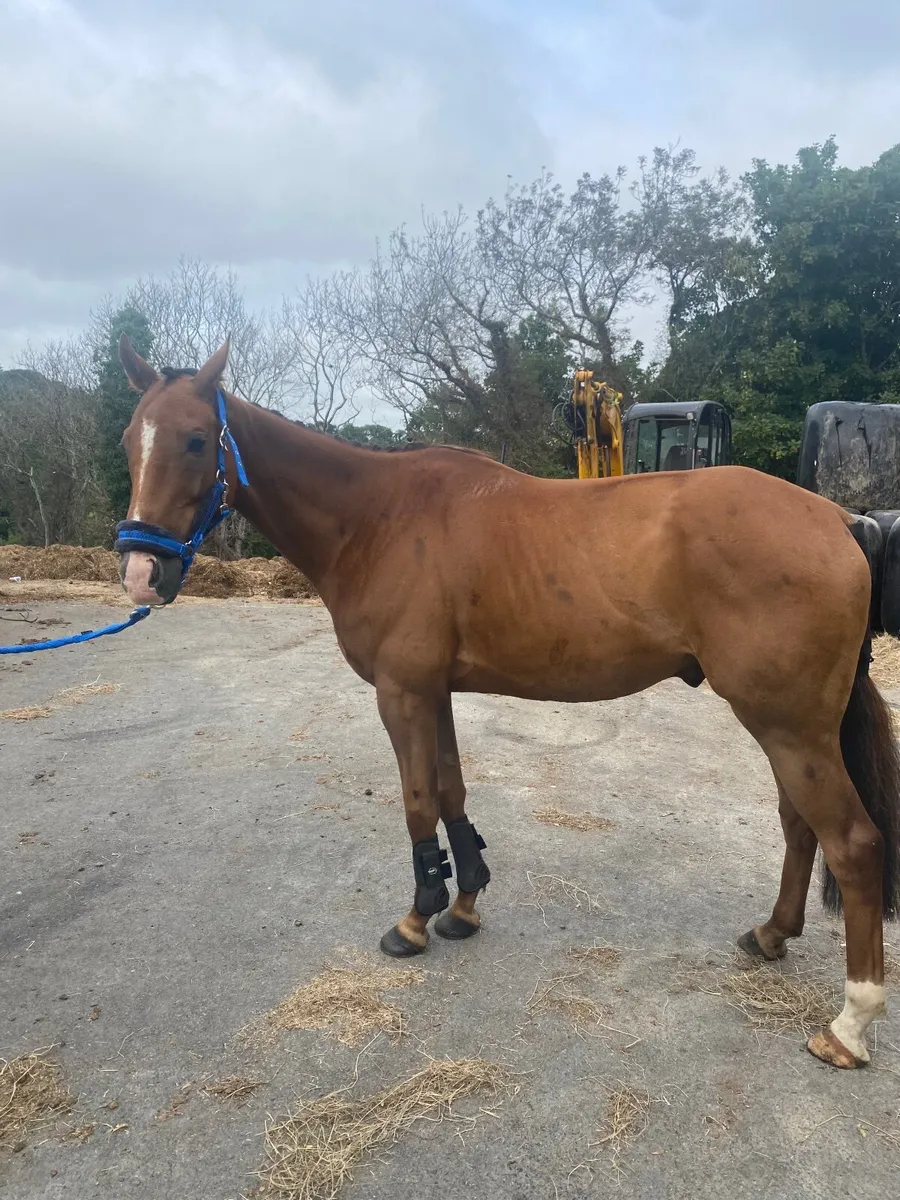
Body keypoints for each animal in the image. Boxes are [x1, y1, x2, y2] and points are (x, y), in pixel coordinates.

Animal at [115, 335, 900, 1072]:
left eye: (196, 439)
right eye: (129, 440)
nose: (142, 572)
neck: (375, 517)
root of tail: (839, 520)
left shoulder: (401, 694)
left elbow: (418, 803)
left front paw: (414, 922)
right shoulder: (433, 692)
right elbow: (452, 792)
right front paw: (462, 906)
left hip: (788, 726)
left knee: (853, 844)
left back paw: (849, 1024)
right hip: (791, 727)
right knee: (800, 827)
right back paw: (771, 934)